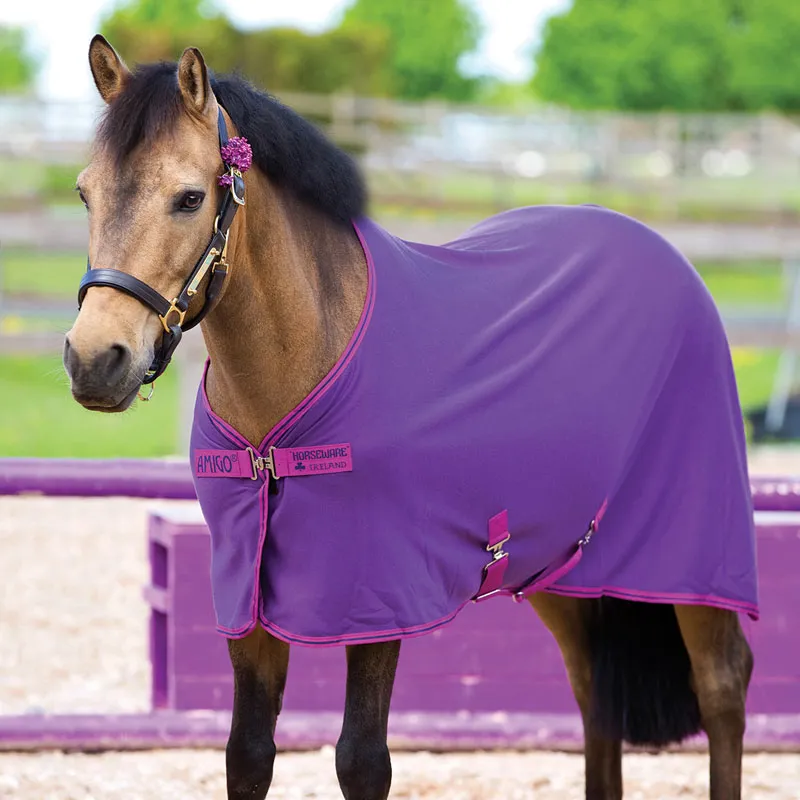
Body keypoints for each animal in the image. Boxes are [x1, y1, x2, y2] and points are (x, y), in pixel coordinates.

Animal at [64, 35, 757, 800]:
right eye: (86, 192)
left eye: (189, 198)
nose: (95, 359)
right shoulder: (246, 601)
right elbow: (247, 754)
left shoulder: (377, 594)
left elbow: (362, 760)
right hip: (563, 565)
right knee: (592, 691)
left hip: (691, 559)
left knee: (723, 684)